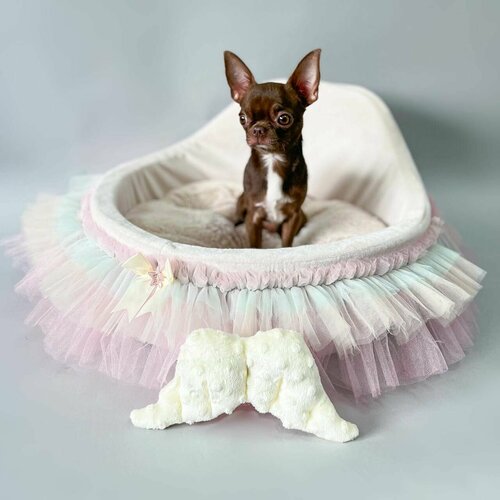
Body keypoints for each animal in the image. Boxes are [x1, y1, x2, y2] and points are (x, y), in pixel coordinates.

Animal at [224, 49, 321, 248]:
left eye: (284, 119)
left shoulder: (293, 215)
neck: (273, 159)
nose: (258, 129)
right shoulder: (253, 216)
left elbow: (286, 244)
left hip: (303, 216)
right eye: (242, 118)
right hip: (241, 202)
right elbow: (254, 246)